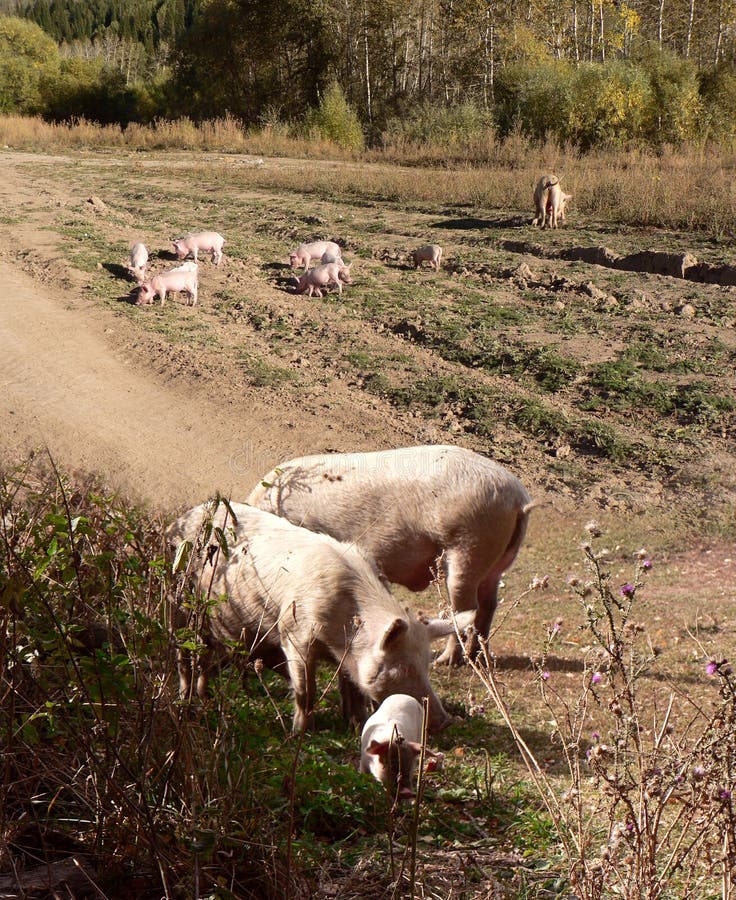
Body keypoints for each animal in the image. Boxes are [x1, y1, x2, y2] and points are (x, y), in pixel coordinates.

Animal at [170, 500, 462, 732]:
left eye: (426, 664)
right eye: (402, 667)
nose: (445, 721)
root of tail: (181, 519)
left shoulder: (348, 658)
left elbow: (352, 689)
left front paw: (357, 723)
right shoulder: (294, 636)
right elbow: (305, 690)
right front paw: (301, 732)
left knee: (207, 663)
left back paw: (204, 697)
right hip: (182, 606)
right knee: (184, 658)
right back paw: (185, 701)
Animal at [249, 444, 536, 664]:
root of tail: (518, 500)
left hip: (468, 544)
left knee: (466, 608)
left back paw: (447, 661)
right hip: (496, 561)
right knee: (489, 604)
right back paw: (477, 657)